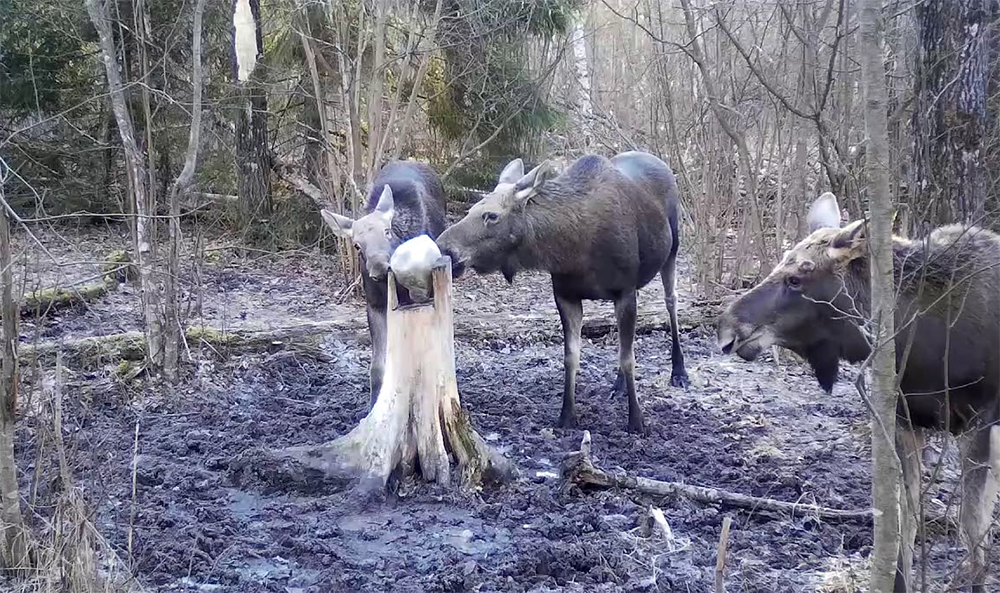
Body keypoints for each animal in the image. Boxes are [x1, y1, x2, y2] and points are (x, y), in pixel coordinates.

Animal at [320, 160, 446, 404]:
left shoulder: (418, 300)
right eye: (357, 245)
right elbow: (378, 367)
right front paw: (373, 404)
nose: (378, 266)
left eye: (387, 232)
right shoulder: (375, 304)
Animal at [436, 150, 688, 432]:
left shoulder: (624, 291)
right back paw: (619, 384)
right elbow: (571, 356)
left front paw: (636, 420)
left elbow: (628, 358)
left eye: (491, 215)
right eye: (470, 210)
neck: (571, 249)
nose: (444, 247)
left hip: (673, 249)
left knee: (671, 300)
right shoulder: (566, 295)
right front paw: (567, 415)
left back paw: (679, 372)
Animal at [720, 192, 1000, 588]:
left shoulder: (980, 417)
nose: (727, 330)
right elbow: (902, 523)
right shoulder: (903, 419)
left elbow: (973, 529)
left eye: (796, 277)